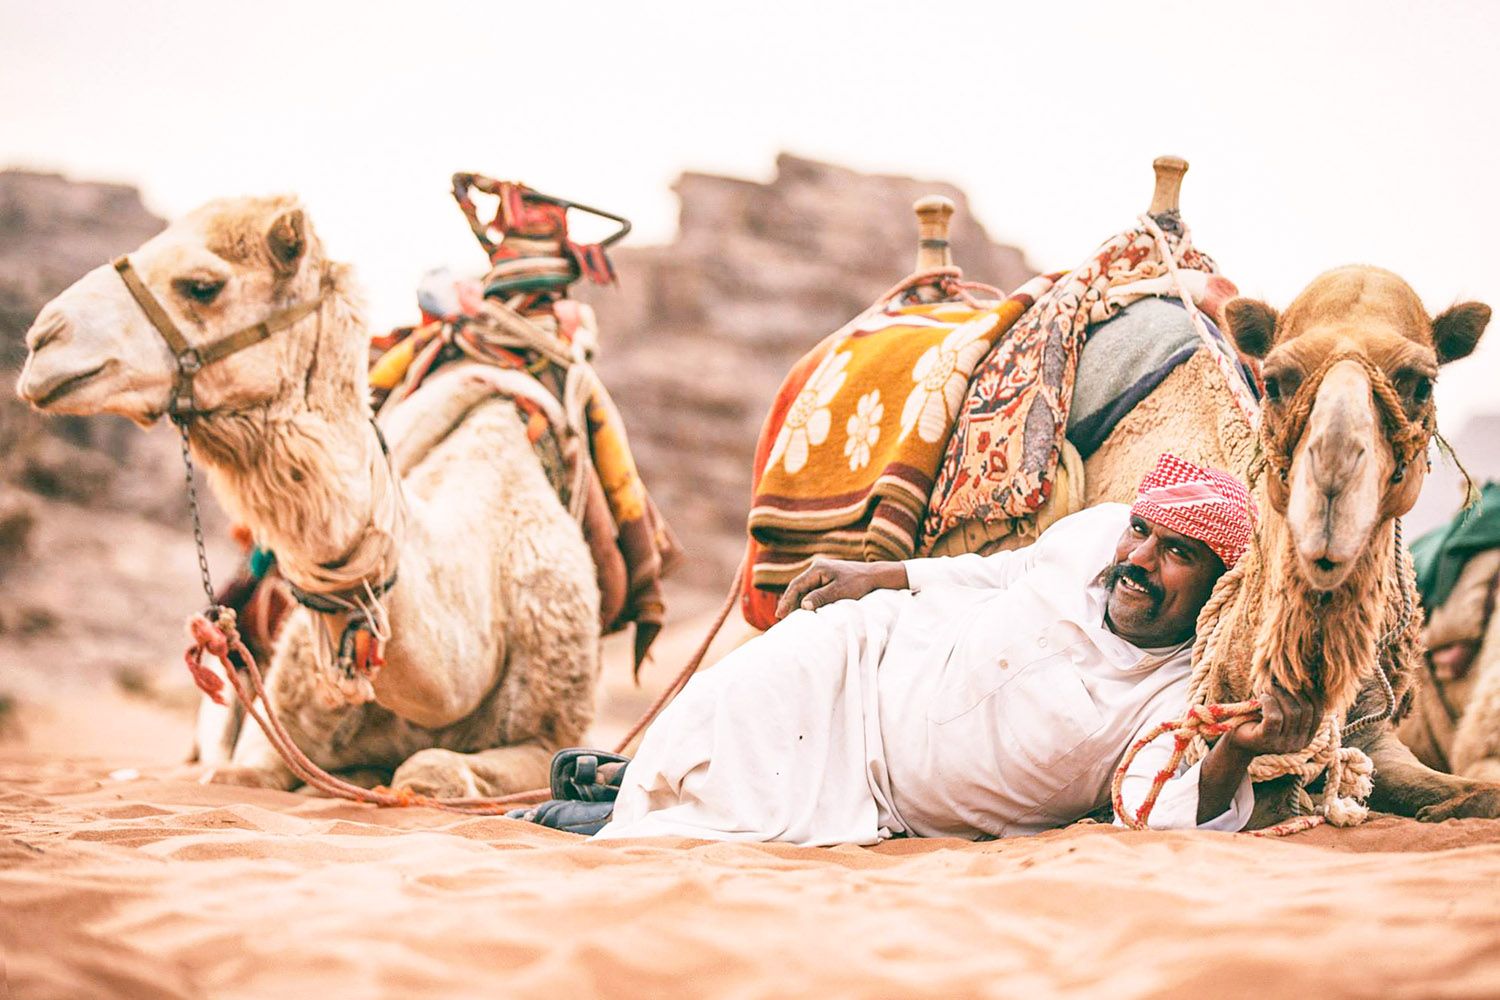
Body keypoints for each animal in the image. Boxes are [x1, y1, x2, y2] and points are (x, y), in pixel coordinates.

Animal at [16, 195, 602, 797]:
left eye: (202, 285)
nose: (43, 340)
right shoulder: (277, 723)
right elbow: (236, 774)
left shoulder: (550, 733)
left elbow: (431, 769)